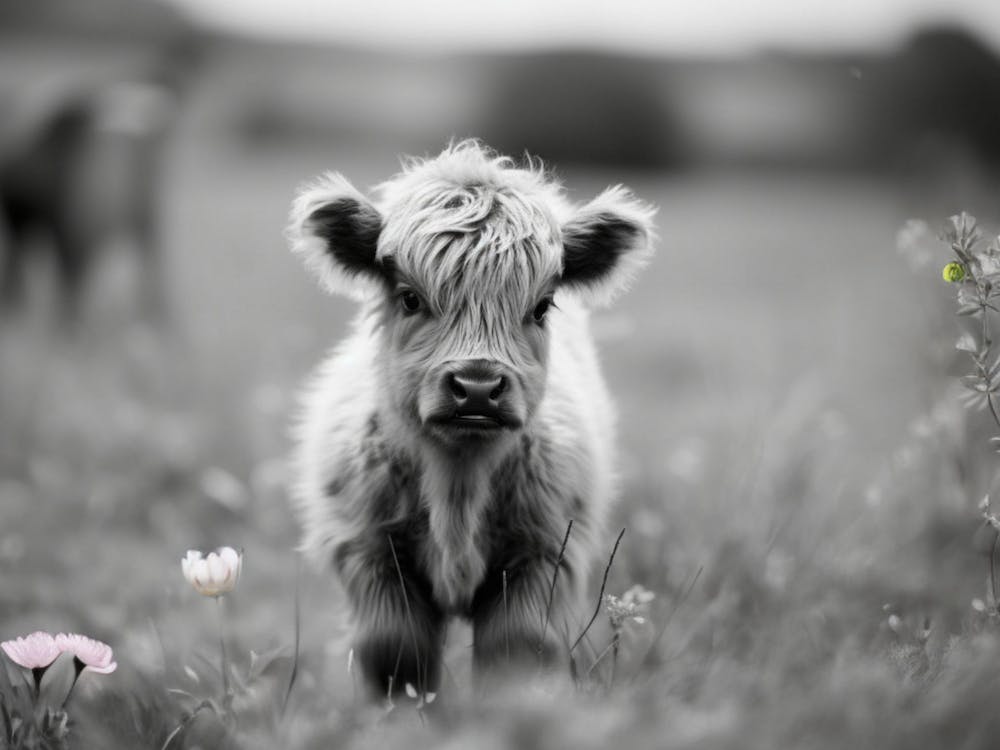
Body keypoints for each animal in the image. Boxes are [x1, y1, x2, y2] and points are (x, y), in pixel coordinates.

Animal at [286, 141, 655, 699]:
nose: (478, 387)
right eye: (410, 297)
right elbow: (396, 653)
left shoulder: (542, 555)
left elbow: (515, 651)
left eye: (542, 306)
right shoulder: (369, 552)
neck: (457, 484)